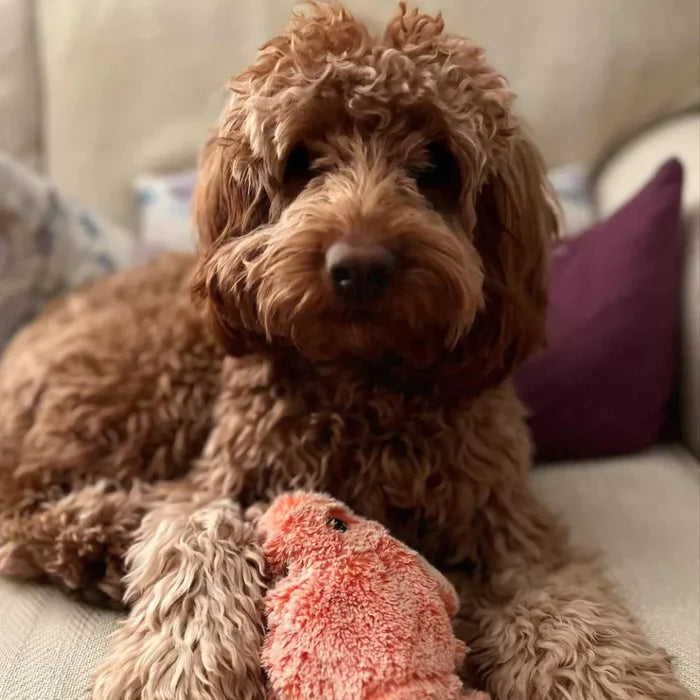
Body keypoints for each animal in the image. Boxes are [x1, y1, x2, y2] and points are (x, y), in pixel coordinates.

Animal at [0, 4, 688, 700]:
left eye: (436, 163)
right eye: (303, 158)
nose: (360, 268)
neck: (364, 380)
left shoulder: (506, 525)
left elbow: (564, 610)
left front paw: (606, 675)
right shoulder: (219, 486)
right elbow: (201, 550)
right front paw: (180, 668)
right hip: (146, 382)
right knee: (22, 506)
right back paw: (107, 534)